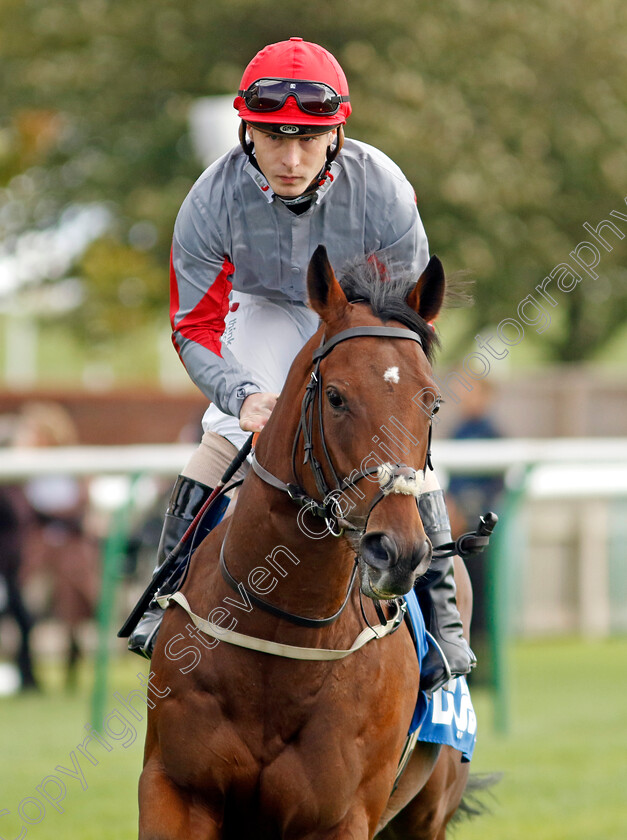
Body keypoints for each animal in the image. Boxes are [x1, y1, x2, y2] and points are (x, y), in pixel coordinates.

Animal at [141, 249, 476, 840]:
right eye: (336, 397)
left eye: (433, 403)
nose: (399, 552)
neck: (282, 632)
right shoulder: (174, 789)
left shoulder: (341, 817)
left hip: (426, 814)